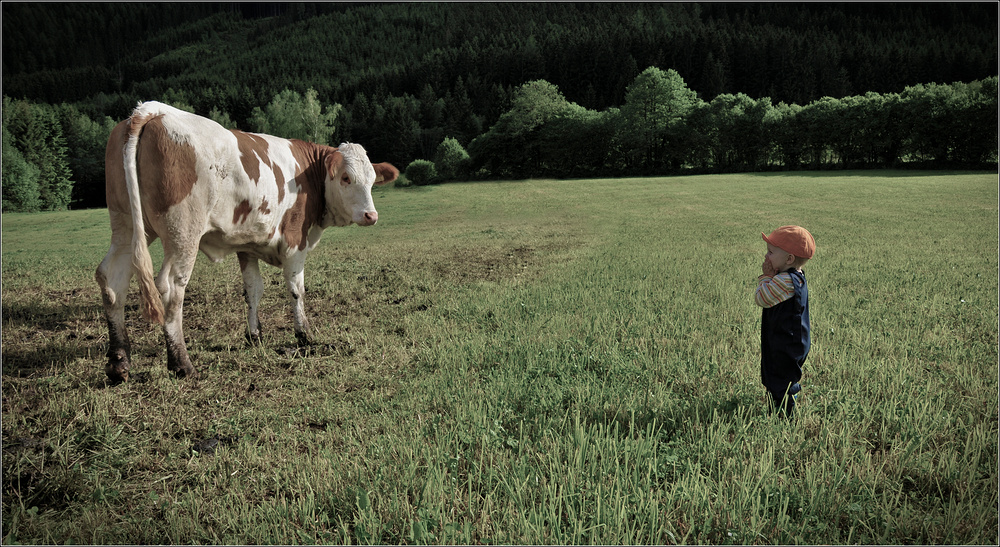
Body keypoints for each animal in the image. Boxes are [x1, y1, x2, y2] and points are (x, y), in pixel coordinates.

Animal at [94, 101, 398, 386]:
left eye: (372, 180)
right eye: (346, 178)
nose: (371, 216)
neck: (309, 174)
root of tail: (152, 110)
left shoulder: (247, 245)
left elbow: (253, 290)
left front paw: (255, 335)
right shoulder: (295, 241)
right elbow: (296, 288)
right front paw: (304, 335)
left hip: (126, 226)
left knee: (112, 280)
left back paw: (119, 363)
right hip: (183, 232)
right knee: (170, 287)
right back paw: (181, 363)